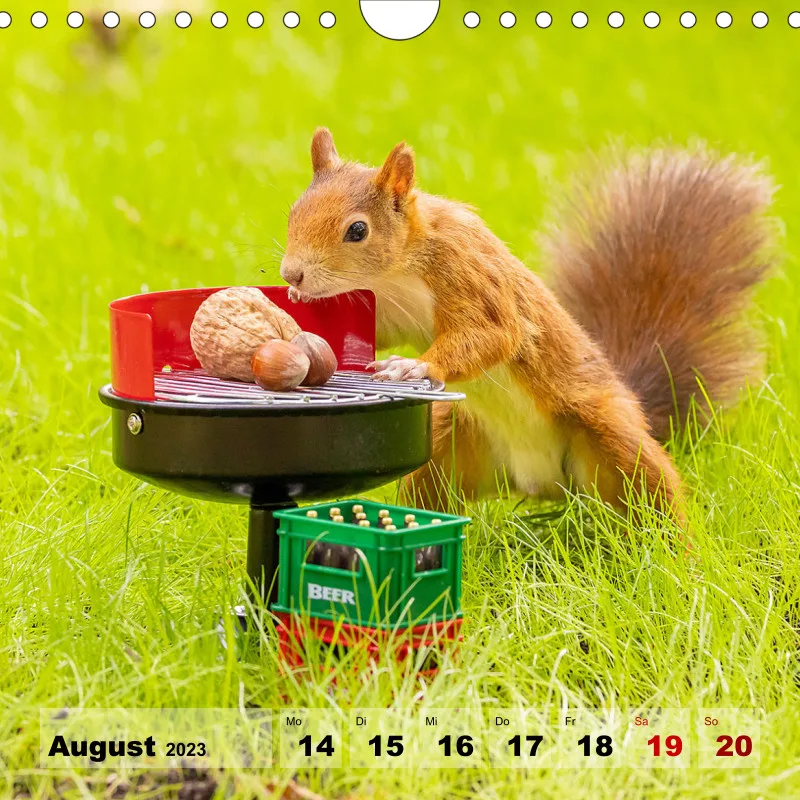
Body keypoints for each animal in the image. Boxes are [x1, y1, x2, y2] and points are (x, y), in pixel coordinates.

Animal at [280, 128, 777, 520]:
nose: (291, 274)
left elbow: (493, 334)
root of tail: (543, 482)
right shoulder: (386, 309)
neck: (396, 272)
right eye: (293, 211)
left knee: (654, 494)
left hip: (610, 437)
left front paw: (414, 367)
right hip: (448, 449)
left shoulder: (470, 274)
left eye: (357, 230)